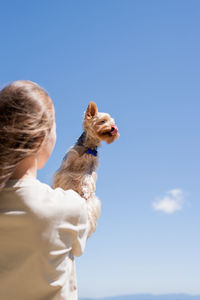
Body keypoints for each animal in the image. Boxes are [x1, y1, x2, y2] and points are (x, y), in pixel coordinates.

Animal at [52, 102, 119, 236]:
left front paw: (85, 190)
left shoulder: (90, 169)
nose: (113, 128)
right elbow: (69, 175)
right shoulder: (67, 166)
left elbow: (87, 179)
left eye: (112, 122)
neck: (89, 147)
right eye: (103, 121)